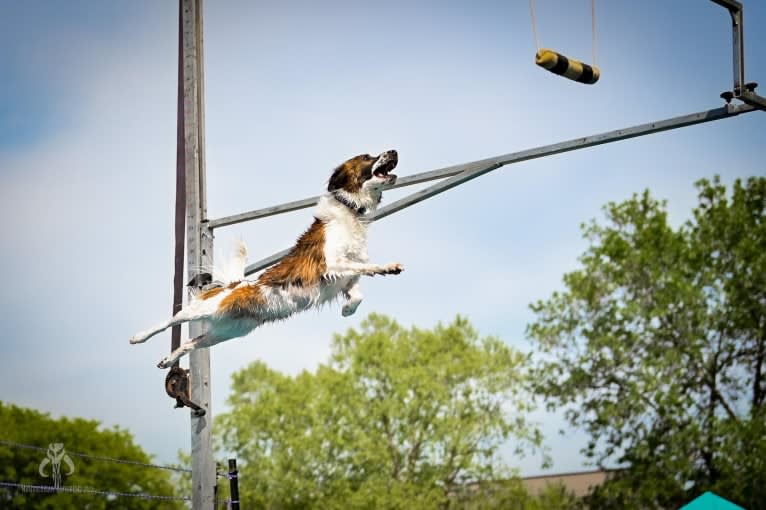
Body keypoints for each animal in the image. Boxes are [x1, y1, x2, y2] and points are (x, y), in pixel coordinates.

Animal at [129, 149, 404, 368]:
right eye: (367, 157)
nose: (393, 150)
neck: (350, 210)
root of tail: (232, 285)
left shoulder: (347, 278)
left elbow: (358, 292)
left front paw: (348, 308)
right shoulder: (330, 263)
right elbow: (367, 267)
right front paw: (389, 267)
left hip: (227, 332)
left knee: (190, 342)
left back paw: (168, 360)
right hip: (203, 309)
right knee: (169, 321)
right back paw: (138, 337)